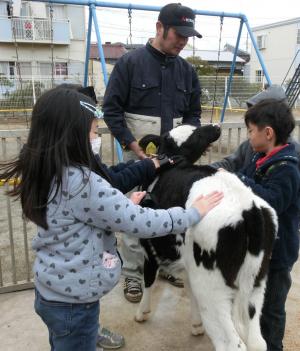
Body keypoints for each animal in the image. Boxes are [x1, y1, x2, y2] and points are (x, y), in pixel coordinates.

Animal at [135, 124, 278, 351]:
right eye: (198, 133)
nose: (215, 127)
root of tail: (249, 207)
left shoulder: (150, 247)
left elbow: (148, 279)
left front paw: (142, 313)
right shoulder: (188, 264)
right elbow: (190, 290)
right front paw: (196, 324)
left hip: (212, 288)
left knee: (232, 343)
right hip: (256, 283)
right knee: (257, 341)